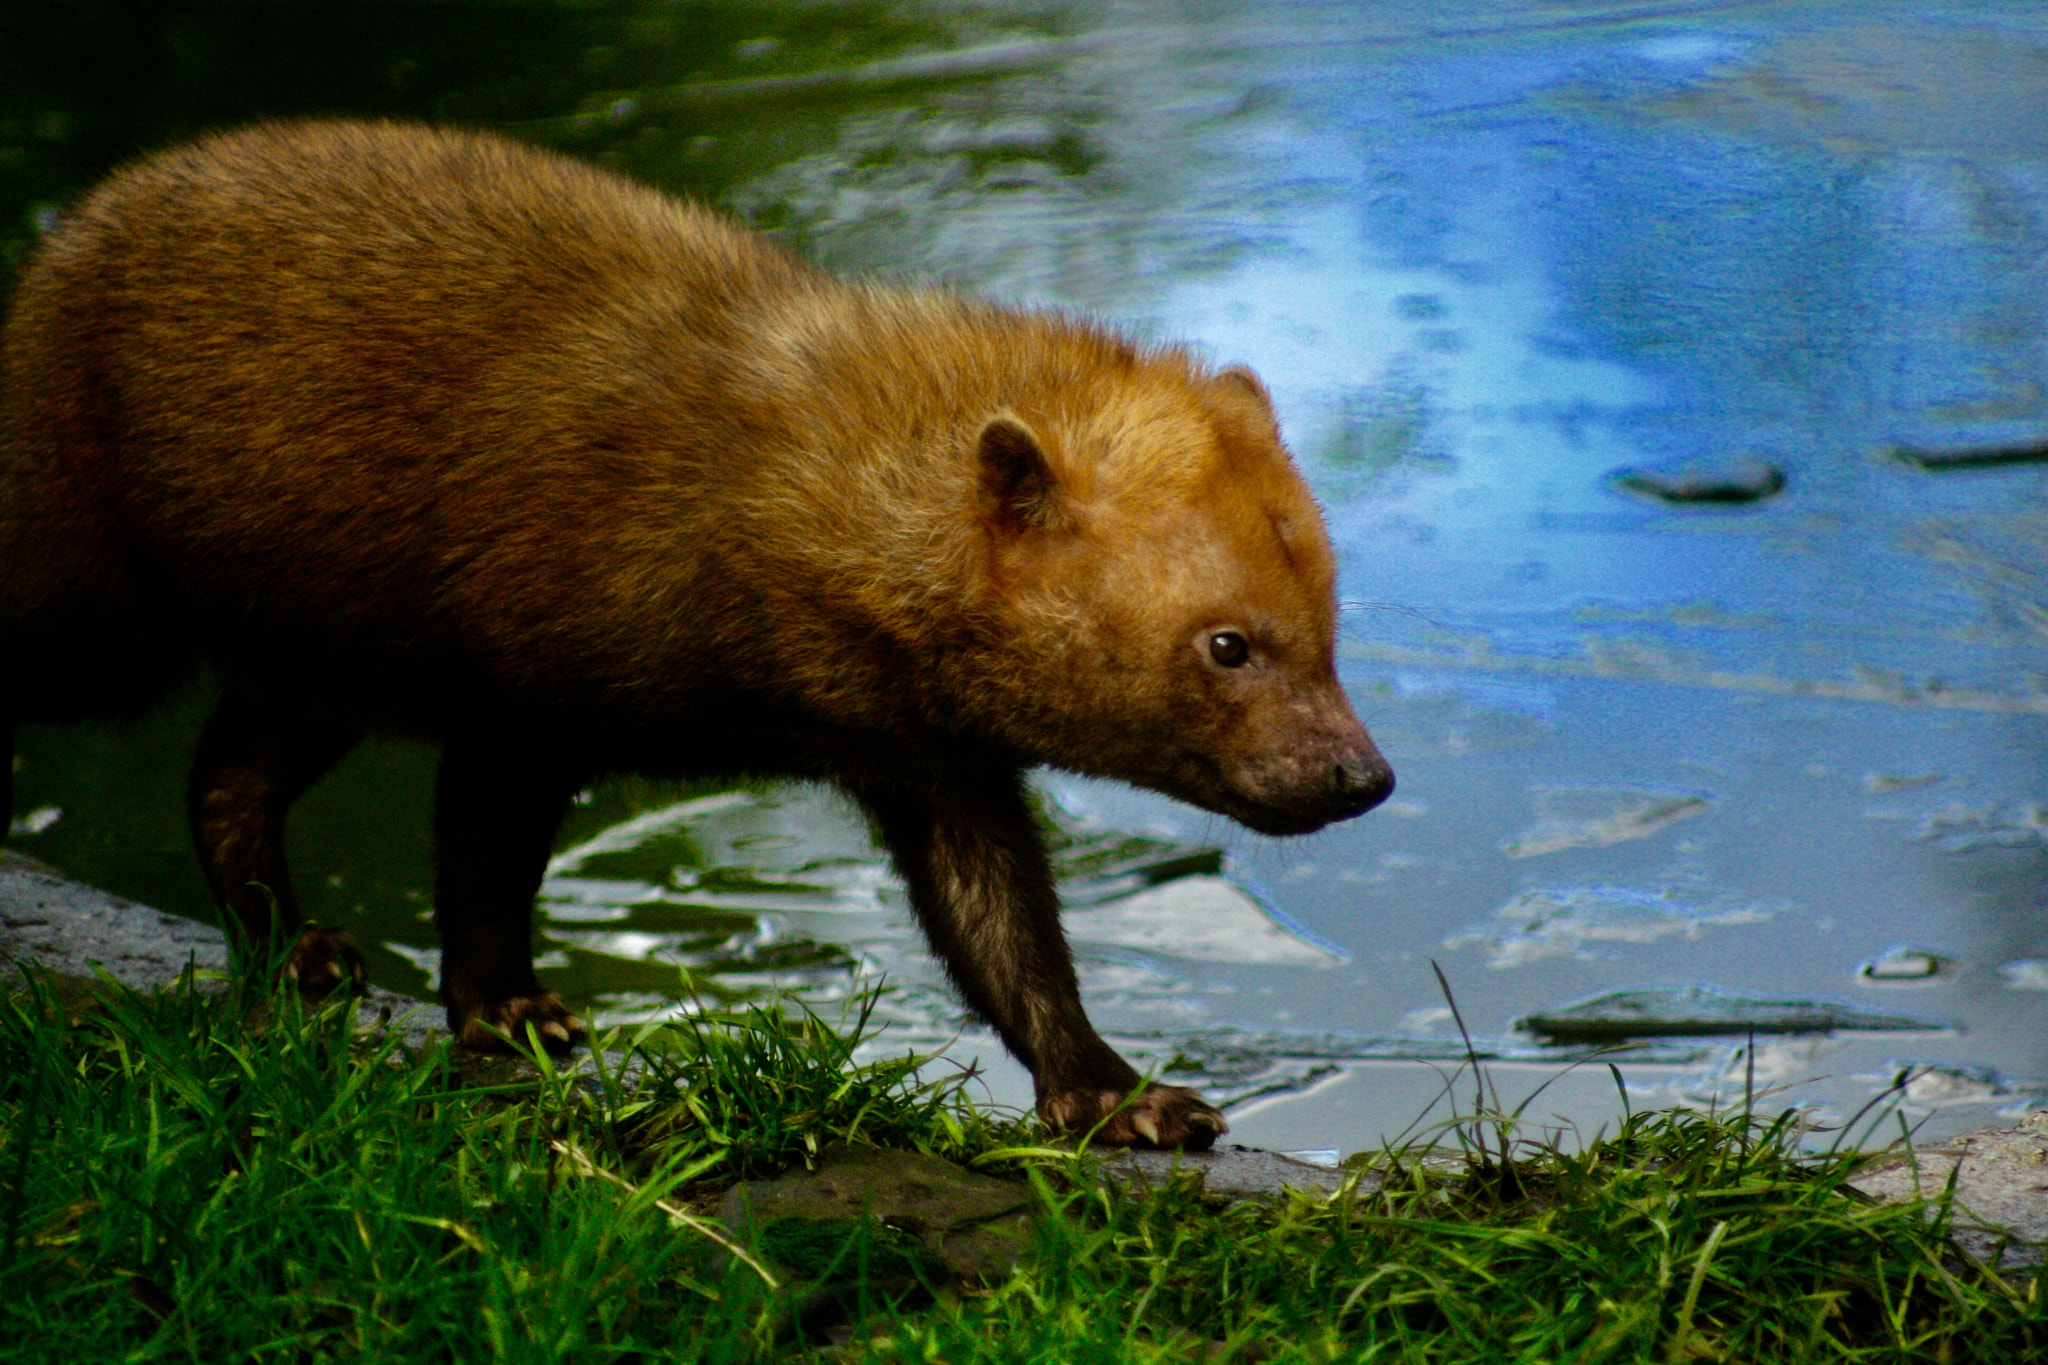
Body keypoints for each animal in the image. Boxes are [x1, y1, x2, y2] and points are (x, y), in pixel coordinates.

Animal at [0, 122, 1392, 1154]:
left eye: (1332, 614)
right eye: (1228, 643)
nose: (1363, 775)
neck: (755, 497)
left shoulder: (930, 756)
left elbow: (1005, 936)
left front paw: (1122, 1099)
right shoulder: (519, 691)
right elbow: (483, 866)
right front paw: (511, 1016)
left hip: (320, 659)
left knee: (226, 775)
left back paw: (303, 952)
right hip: (102, 606)